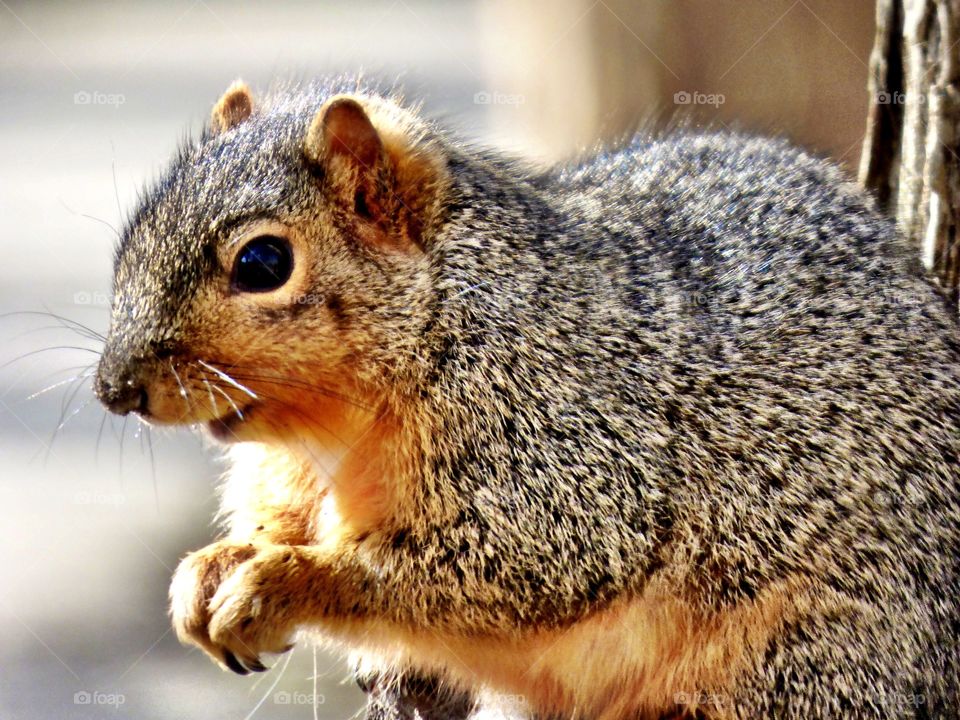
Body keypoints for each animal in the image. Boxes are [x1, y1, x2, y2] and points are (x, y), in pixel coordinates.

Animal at [94, 78, 960, 719]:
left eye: (264, 262)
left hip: (810, 659)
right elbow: (275, 520)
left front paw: (283, 582)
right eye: (134, 233)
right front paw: (212, 568)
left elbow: (521, 562)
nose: (113, 389)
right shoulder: (289, 471)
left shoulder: (564, 446)